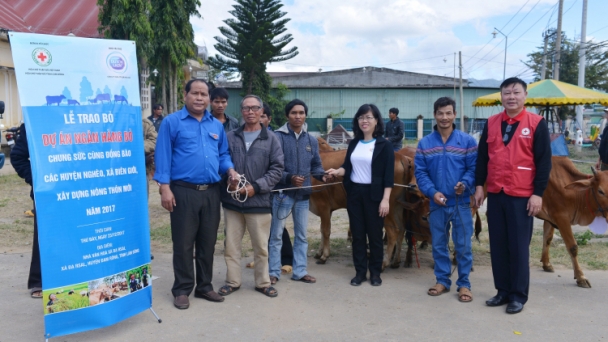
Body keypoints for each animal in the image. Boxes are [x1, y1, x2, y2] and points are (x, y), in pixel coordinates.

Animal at [536, 158, 604, 288]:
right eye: (601, 191)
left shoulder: (550, 217)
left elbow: (547, 238)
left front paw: (546, 264)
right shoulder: (561, 217)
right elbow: (573, 247)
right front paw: (581, 277)